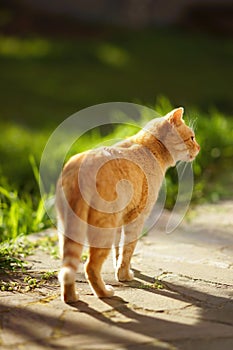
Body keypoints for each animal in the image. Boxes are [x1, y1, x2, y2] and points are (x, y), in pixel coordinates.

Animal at [55, 106, 199, 300]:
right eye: (191, 137)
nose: (199, 147)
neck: (149, 148)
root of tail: (79, 166)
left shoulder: (121, 219)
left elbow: (119, 250)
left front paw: (119, 270)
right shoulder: (136, 218)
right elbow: (128, 249)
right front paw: (124, 275)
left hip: (67, 229)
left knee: (67, 267)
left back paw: (71, 298)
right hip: (104, 227)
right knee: (90, 266)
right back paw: (105, 293)